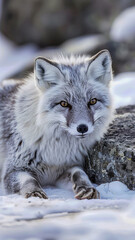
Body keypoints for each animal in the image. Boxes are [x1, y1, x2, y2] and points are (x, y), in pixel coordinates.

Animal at [0, 50, 113, 199]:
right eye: (64, 103)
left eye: (93, 101)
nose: (82, 128)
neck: (56, 151)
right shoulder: (13, 170)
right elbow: (29, 180)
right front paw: (34, 193)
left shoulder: (66, 168)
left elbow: (80, 174)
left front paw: (86, 188)